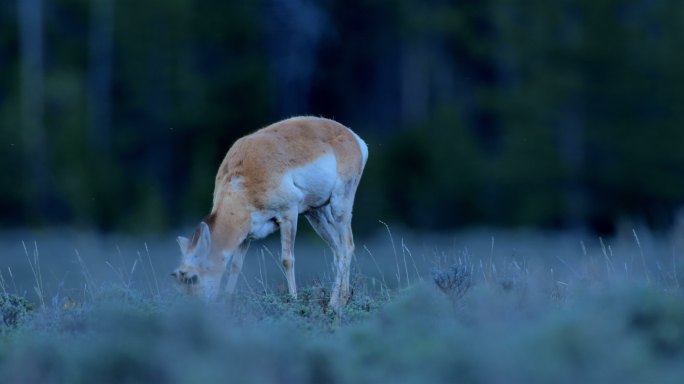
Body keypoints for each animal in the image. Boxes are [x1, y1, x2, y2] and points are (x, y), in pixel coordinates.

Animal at [172, 116, 368, 308]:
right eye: (178, 279)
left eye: (192, 278)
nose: (192, 309)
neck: (240, 182)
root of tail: (351, 136)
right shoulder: (246, 235)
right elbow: (236, 265)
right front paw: (227, 300)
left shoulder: (289, 214)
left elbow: (287, 260)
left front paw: (293, 300)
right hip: (317, 214)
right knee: (338, 250)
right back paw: (343, 299)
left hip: (339, 206)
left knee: (347, 246)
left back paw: (334, 303)